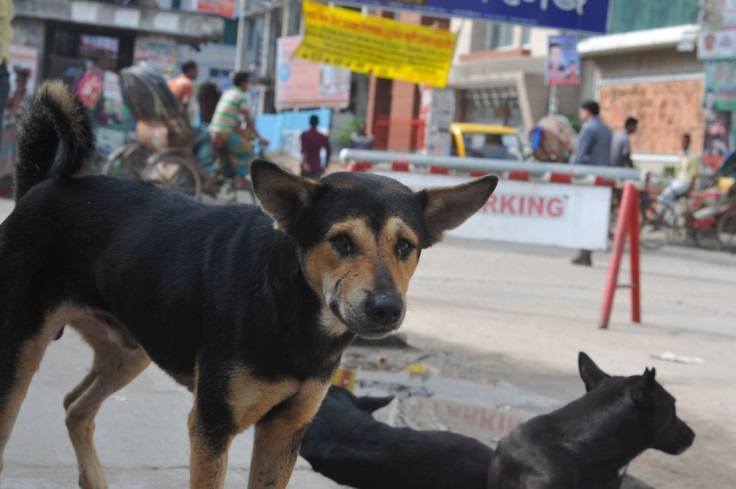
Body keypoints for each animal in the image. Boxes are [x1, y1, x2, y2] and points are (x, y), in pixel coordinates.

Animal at [0, 82, 498, 486]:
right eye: (341, 241)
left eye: (406, 246)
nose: (386, 308)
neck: (290, 307)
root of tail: (38, 189)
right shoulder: (211, 426)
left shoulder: (285, 430)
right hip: (18, 356)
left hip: (130, 349)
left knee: (75, 406)